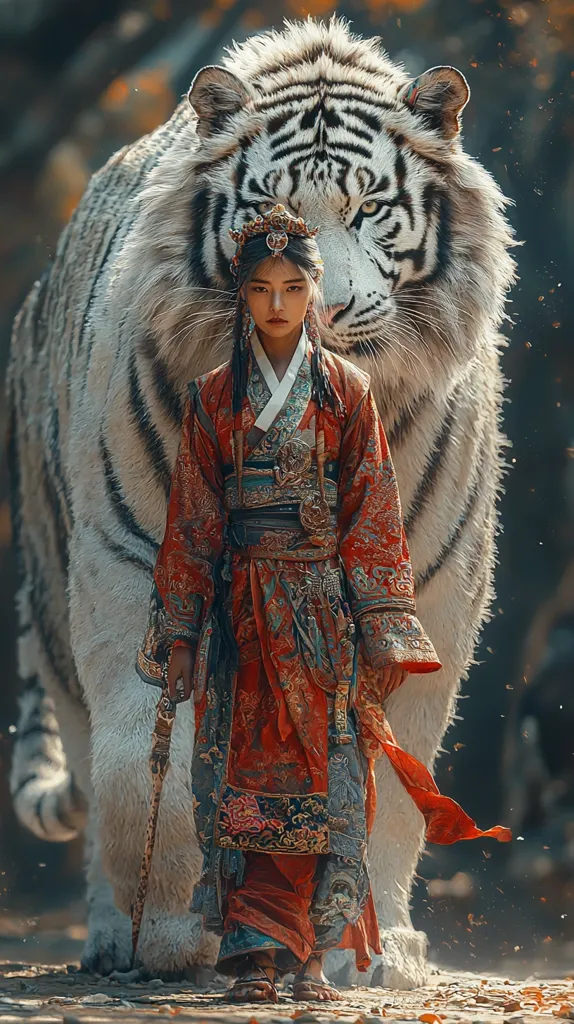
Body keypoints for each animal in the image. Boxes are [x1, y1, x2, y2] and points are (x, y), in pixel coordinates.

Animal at [7, 16, 516, 989]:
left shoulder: (425, 585)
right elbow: (142, 759)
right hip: (51, 592)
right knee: (90, 749)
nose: (320, 311)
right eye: (271, 216)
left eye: (368, 210)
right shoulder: (136, 561)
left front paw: (372, 949)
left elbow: (396, 771)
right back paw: (112, 929)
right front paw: (173, 934)